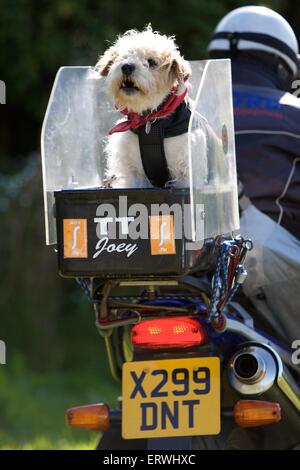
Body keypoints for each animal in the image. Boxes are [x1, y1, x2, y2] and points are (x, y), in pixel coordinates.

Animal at [97, 26, 193, 188]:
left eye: (151, 62)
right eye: (123, 57)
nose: (126, 66)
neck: (150, 119)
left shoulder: (185, 172)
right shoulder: (132, 173)